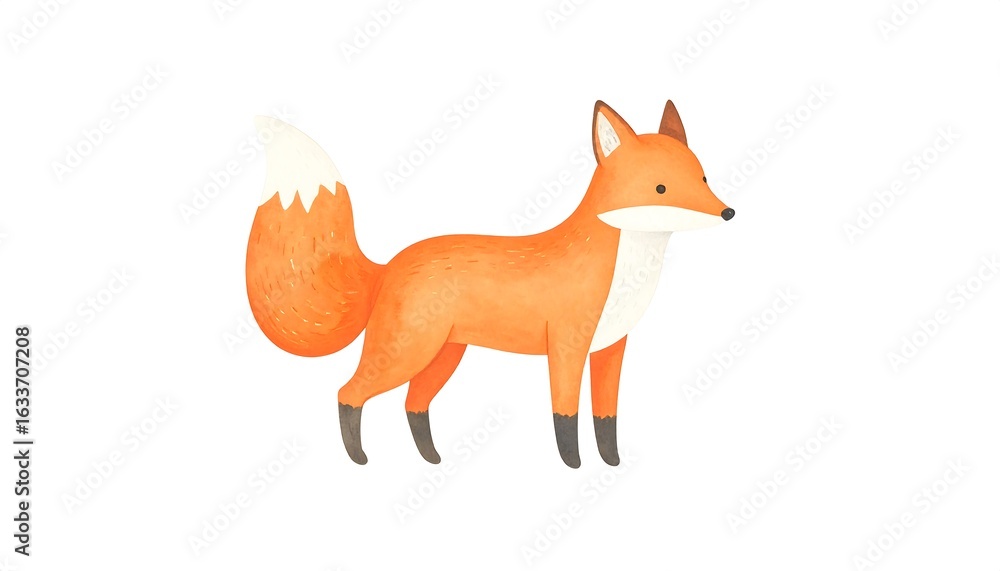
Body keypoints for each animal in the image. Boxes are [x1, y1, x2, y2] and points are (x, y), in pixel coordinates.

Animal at [245, 99, 734, 468]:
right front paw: (573, 466)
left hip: (443, 356)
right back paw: (358, 458)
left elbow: (606, 420)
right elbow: (566, 418)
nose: (728, 212)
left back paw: (431, 459)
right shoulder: (567, 349)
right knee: (348, 393)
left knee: (413, 405)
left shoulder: (611, 349)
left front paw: (611, 464)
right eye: (660, 188)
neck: (624, 271)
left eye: (703, 178)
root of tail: (389, 264)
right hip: (406, 352)